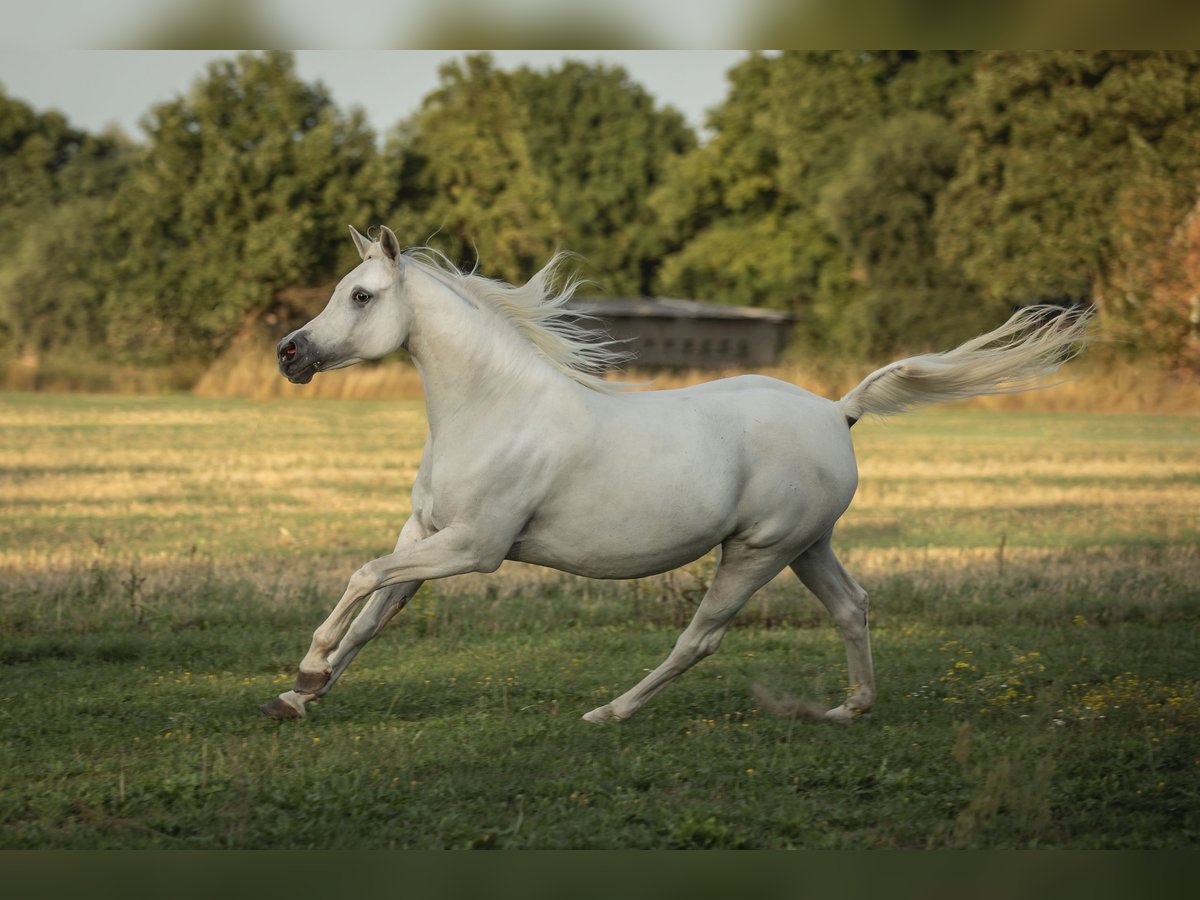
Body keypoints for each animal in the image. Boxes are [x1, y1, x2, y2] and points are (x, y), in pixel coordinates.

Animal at [261, 225, 1091, 724]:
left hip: (756, 553)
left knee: (701, 638)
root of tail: (837, 411)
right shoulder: (426, 534)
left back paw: (610, 712)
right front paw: (301, 696)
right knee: (852, 608)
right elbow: (374, 614)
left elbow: (362, 578)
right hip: (807, 547)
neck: (493, 410)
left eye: (361, 295)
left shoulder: (475, 547)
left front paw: (305, 672)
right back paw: (850, 709)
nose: (289, 353)